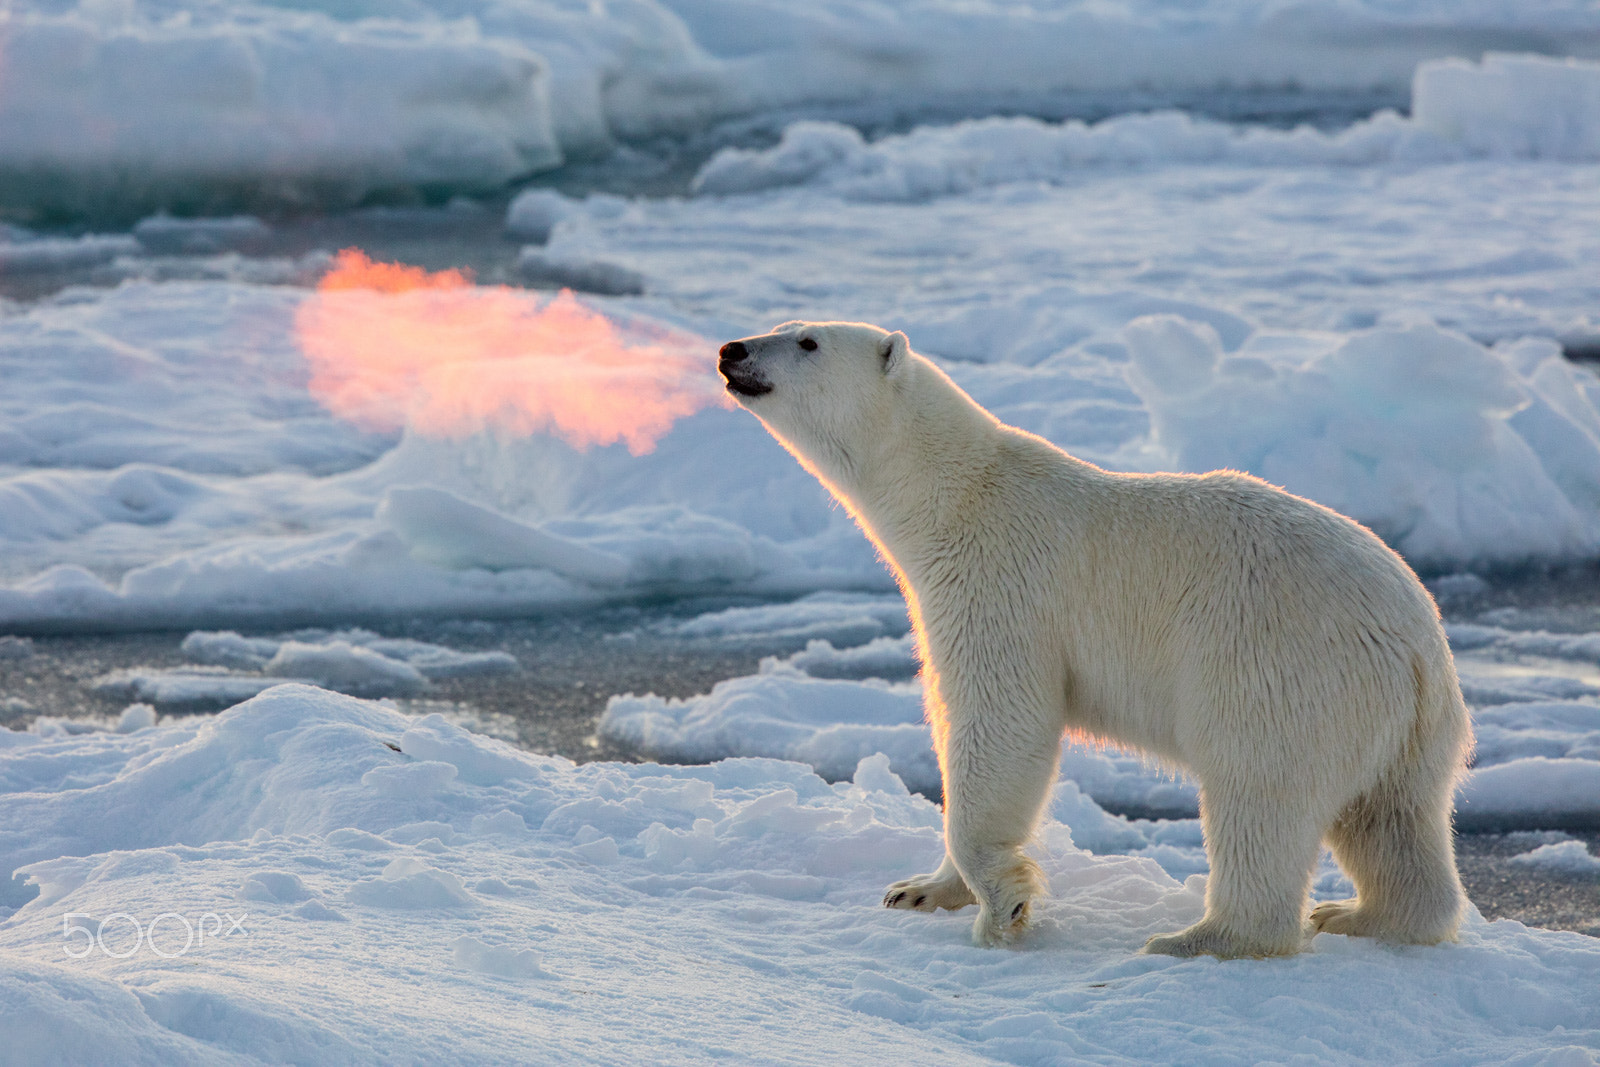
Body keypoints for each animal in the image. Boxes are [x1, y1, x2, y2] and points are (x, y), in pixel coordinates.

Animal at [717, 320, 1472, 958]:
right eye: (782, 323)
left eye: (807, 341)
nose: (731, 349)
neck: (954, 496)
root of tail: (1415, 644)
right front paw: (917, 889)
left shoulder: (1000, 584)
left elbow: (1002, 721)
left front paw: (1003, 908)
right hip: (1405, 728)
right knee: (1392, 819)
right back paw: (1360, 914)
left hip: (1280, 669)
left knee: (1259, 797)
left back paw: (1199, 937)